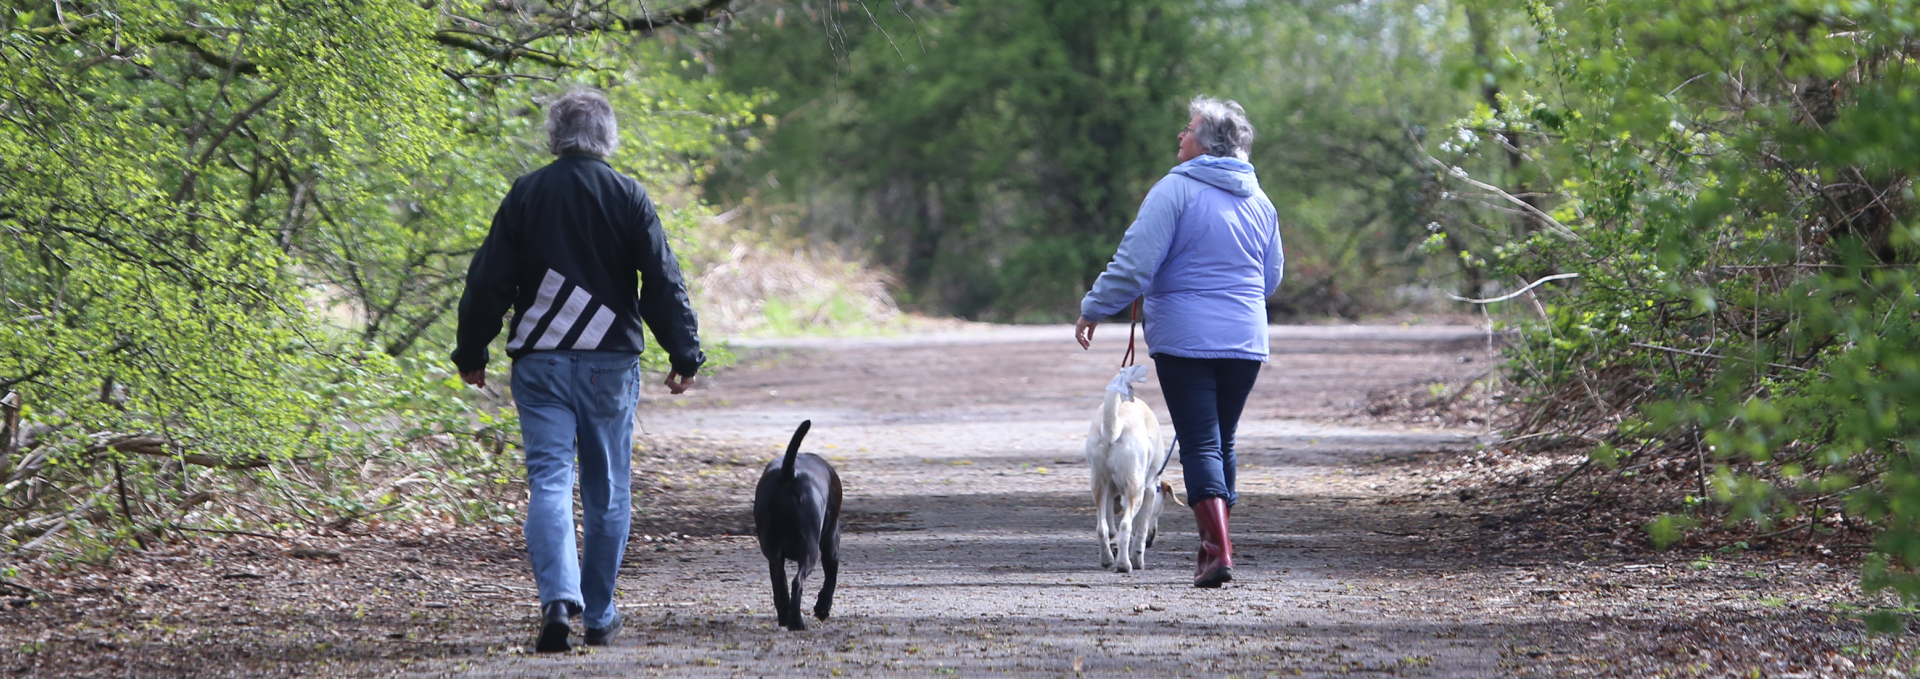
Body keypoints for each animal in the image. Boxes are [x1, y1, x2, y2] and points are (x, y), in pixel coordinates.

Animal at [748, 418, 840, 632]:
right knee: (797, 582)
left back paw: (785, 616)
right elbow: (830, 578)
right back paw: (797, 622)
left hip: (772, 550)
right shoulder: (831, 543)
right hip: (810, 549)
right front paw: (822, 608)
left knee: (780, 582)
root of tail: (788, 474)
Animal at [1090, 366, 1175, 571]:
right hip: (1136, 490)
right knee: (1126, 526)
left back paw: (1107, 559)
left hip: (1098, 484)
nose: (1152, 540)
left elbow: (1110, 528)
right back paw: (1124, 564)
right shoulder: (1150, 491)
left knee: (1101, 527)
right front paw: (1138, 559)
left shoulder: (1110, 493)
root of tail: (1115, 426)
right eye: (1161, 509)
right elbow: (1140, 531)